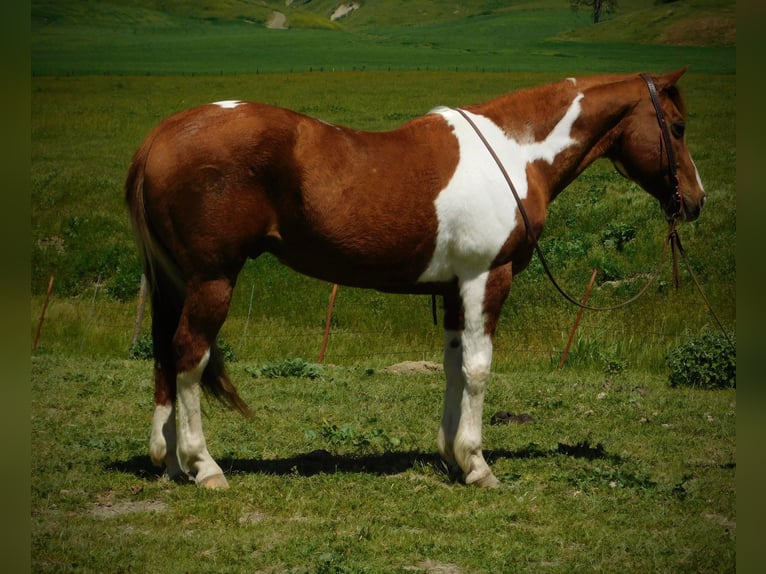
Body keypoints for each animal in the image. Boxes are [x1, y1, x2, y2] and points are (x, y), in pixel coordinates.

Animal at [126, 68, 708, 490]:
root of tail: (162, 134)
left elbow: (452, 367)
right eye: (678, 127)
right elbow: (477, 368)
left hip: (179, 282)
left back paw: (170, 461)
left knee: (164, 352)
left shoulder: (453, 290)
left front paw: (451, 457)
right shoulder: (485, 278)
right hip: (212, 279)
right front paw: (477, 465)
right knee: (188, 353)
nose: (696, 201)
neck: (515, 153)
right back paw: (203, 466)